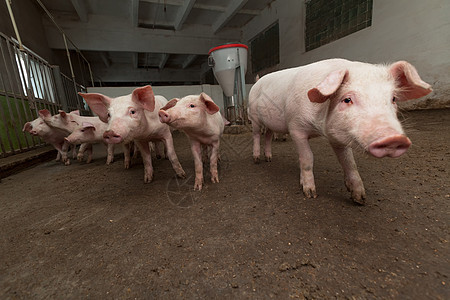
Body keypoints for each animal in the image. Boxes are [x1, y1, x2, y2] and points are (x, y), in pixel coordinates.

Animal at [250, 58, 432, 204]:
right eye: (347, 99)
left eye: (393, 99)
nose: (393, 138)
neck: (319, 129)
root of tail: (257, 82)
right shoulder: (296, 127)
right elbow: (307, 158)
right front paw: (310, 193)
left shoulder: (337, 137)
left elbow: (349, 162)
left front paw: (360, 199)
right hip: (254, 117)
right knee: (257, 135)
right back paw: (257, 160)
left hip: (271, 123)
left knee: (268, 135)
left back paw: (269, 159)